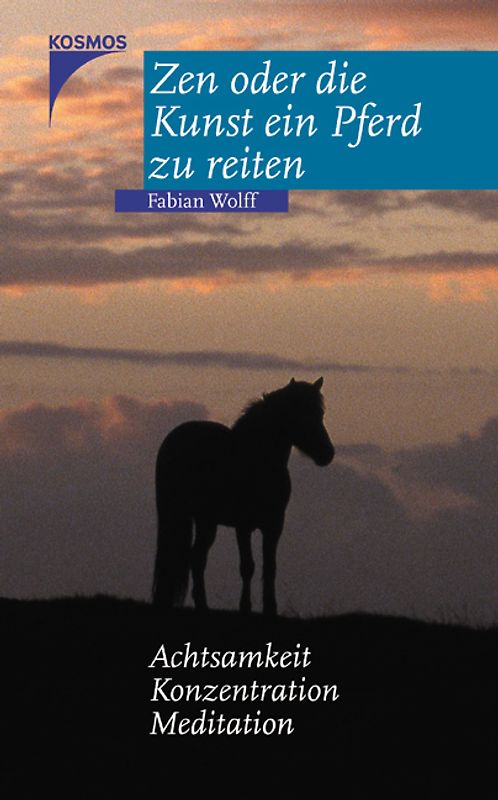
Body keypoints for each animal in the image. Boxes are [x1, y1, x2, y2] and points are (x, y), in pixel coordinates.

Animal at [152, 377, 335, 616]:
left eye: (320, 413)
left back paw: (203, 605)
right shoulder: (243, 525)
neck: (256, 459)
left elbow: (270, 567)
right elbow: (248, 567)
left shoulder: (274, 525)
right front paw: (245, 607)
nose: (328, 453)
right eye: (300, 412)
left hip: (206, 521)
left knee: (197, 557)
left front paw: (270, 608)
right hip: (176, 513)